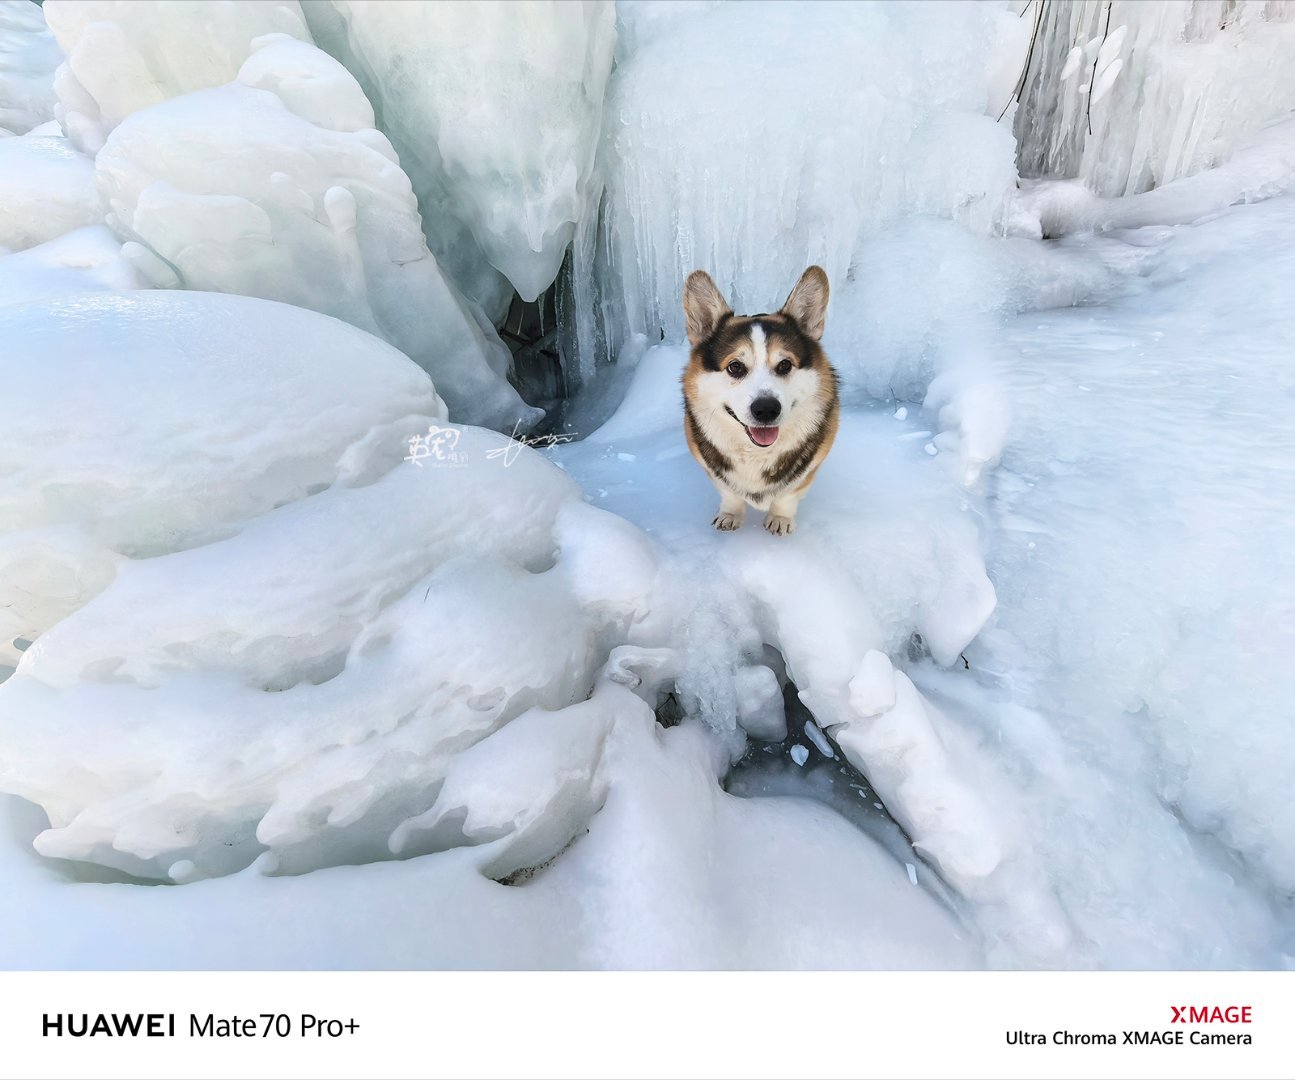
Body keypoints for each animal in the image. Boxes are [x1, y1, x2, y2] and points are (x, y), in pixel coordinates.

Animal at [678, 266, 839, 533]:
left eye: (785, 365)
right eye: (735, 366)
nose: (766, 410)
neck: (755, 452)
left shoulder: (813, 464)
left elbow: (789, 494)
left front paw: (780, 519)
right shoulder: (707, 464)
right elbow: (728, 491)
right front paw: (730, 515)